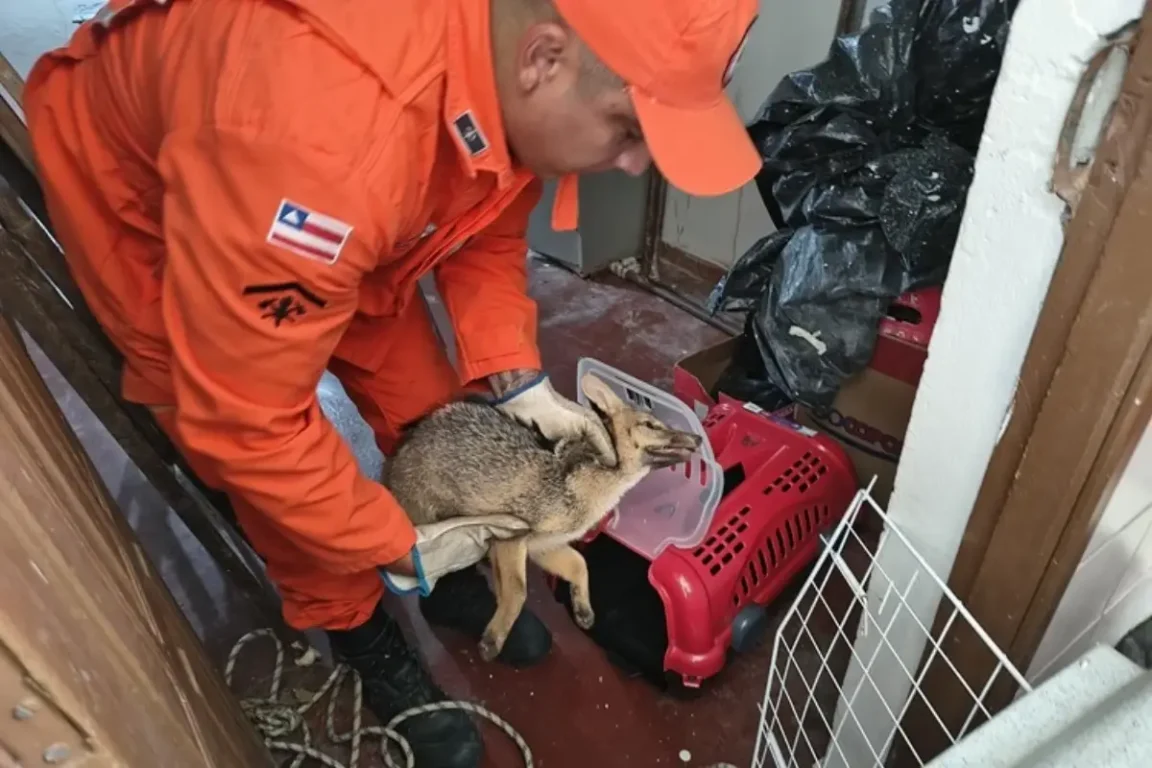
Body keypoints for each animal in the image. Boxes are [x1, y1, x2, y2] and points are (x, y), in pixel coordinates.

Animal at [386, 372, 702, 660]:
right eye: (651, 425)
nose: (698, 437)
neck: (583, 487)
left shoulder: (540, 546)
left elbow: (579, 564)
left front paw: (582, 607)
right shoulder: (510, 536)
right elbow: (518, 591)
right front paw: (494, 638)